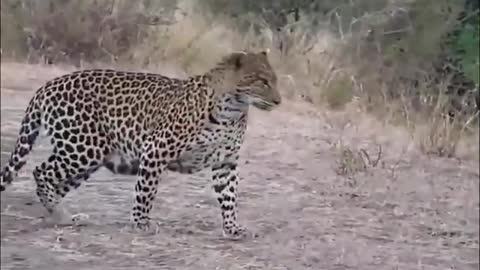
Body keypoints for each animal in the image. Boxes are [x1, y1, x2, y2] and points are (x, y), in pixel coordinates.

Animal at [0, 49, 282, 239]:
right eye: (262, 80)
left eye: (275, 80)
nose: (279, 101)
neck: (232, 109)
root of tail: (47, 86)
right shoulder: (156, 149)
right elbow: (146, 190)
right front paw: (141, 223)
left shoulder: (226, 162)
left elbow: (229, 196)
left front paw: (233, 228)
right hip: (82, 148)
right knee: (41, 172)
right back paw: (61, 215)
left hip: (88, 156)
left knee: (55, 182)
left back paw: (66, 217)